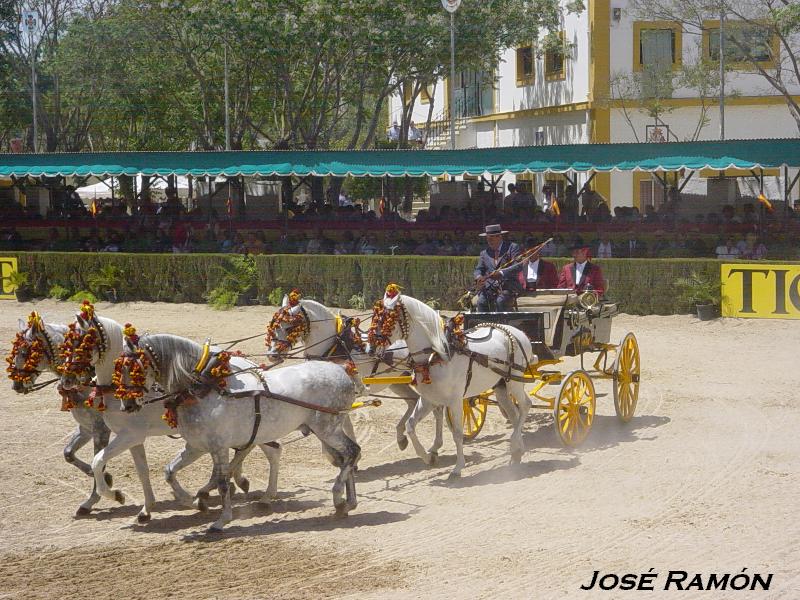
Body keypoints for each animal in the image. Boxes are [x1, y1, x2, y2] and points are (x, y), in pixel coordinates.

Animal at [7, 314, 114, 516]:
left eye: (26, 352)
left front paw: (91, 500)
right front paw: (106, 478)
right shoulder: (86, 428)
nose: (16, 386)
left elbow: (98, 460)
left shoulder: (101, 430)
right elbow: (68, 454)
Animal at [54, 308, 276, 524]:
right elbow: (142, 471)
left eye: (84, 343)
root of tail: (249, 364)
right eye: (67, 345)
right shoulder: (132, 438)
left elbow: (98, 462)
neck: (115, 388)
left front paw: (113, 494)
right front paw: (146, 509)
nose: (66, 380)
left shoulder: (127, 435)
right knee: (261, 448)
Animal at [115, 336, 360, 532]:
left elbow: (222, 482)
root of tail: (341, 370)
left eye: (134, 369)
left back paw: (338, 497)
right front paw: (195, 502)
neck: (205, 388)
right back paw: (347, 503)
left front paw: (221, 520)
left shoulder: (218, 447)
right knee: (344, 459)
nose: (126, 405)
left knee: (352, 452)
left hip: (327, 428)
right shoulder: (196, 446)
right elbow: (169, 472)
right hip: (324, 431)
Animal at [266, 296, 446, 454]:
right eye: (274, 325)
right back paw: (402, 438)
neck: (335, 345)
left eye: (289, 327)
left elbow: (346, 426)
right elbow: (346, 426)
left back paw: (434, 445)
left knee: (436, 408)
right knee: (414, 401)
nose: (272, 354)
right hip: (396, 382)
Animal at [370, 290, 536, 478]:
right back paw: (517, 451)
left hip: (515, 381)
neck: (437, 355)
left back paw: (514, 443)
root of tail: (519, 333)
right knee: (514, 414)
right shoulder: (428, 399)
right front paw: (429, 458)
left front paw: (457, 468)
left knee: (525, 405)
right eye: (376, 315)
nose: (370, 348)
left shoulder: (455, 401)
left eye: (388, 317)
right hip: (501, 386)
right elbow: (410, 425)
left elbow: (457, 433)